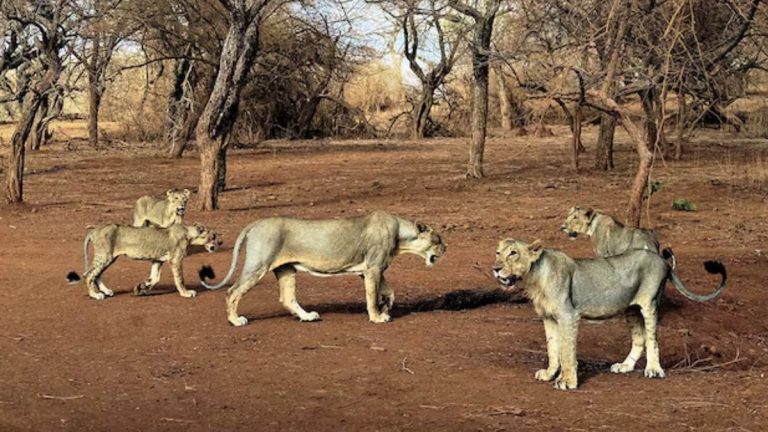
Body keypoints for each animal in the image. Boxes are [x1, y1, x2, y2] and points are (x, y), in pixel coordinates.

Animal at [67, 223, 222, 300]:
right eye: (213, 236)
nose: (221, 242)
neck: (189, 234)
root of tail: (94, 230)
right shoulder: (175, 260)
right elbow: (180, 279)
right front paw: (186, 293)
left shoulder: (158, 260)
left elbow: (155, 278)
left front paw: (140, 288)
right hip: (105, 255)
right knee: (89, 274)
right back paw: (96, 295)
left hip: (110, 257)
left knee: (96, 274)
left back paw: (106, 291)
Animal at [199, 211, 446, 327]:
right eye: (438, 239)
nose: (446, 248)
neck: (401, 237)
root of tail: (255, 223)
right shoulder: (373, 268)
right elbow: (371, 296)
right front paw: (377, 317)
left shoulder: (368, 270)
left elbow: (389, 292)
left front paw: (386, 308)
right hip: (258, 265)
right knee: (232, 292)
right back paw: (235, 320)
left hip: (286, 269)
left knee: (287, 298)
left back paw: (308, 317)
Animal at [492, 238, 726, 390]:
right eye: (498, 252)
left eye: (513, 253)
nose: (495, 268)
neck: (534, 277)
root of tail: (662, 260)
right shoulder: (548, 318)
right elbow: (552, 349)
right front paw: (549, 374)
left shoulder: (568, 315)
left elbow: (566, 351)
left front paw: (568, 381)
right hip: (631, 309)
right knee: (639, 339)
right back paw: (625, 366)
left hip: (649, 303)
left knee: (652, 339)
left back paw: (653, 369)